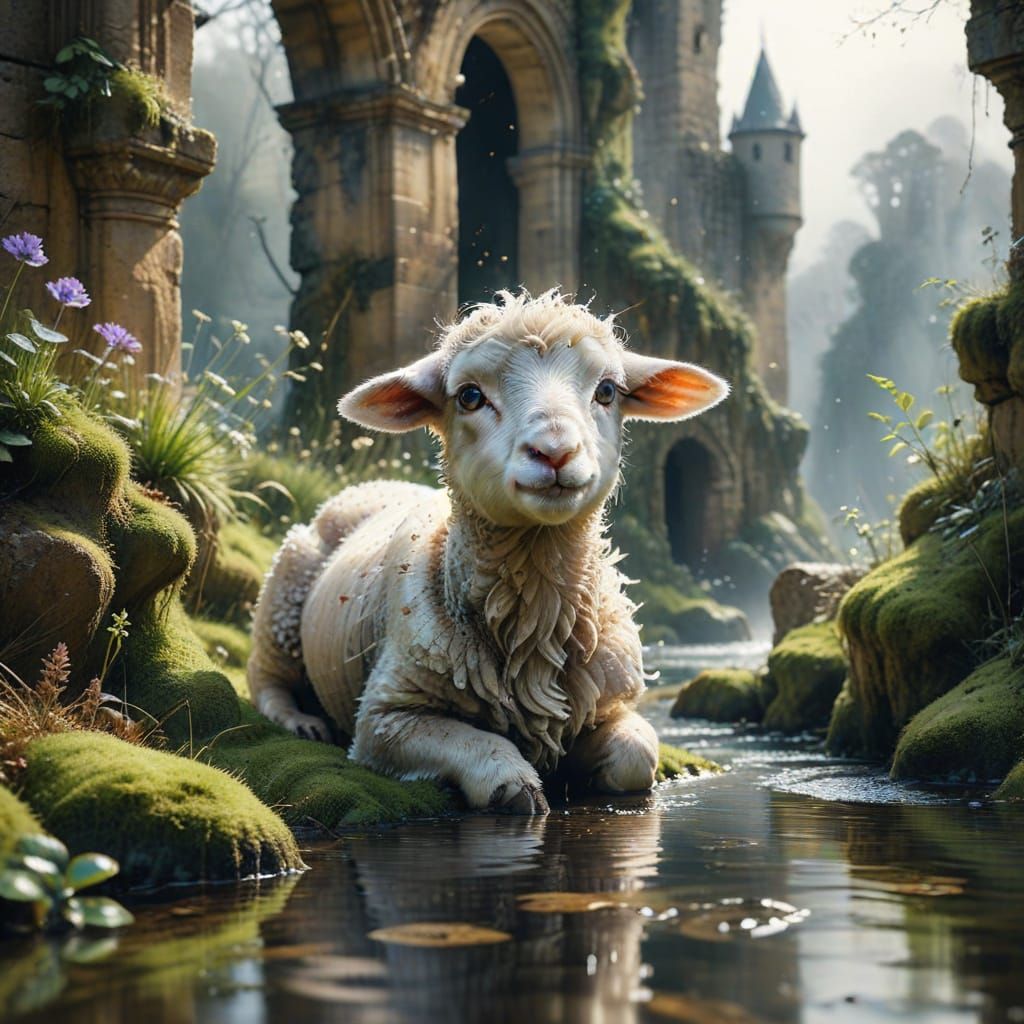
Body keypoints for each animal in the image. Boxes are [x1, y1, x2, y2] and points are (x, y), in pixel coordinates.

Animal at [248, 290, 728, 814]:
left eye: (606, 391)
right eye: (470, 396)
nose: (554, 452)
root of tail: (372, 485)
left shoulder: (608, 703)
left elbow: (635, 756)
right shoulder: (383, 719)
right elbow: (478, 746)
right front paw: (513, 785)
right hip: (282, 590)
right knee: (264, 679)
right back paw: (301, 722)